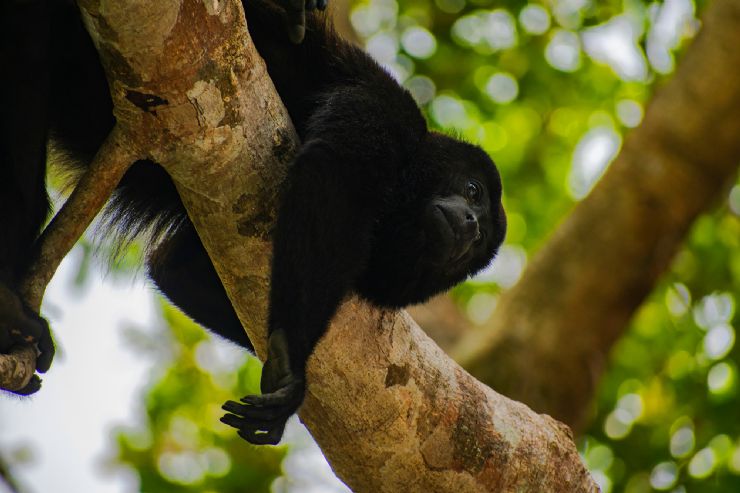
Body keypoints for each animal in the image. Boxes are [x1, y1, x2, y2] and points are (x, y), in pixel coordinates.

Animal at [0, 0, 506, 444]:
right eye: (473, 191)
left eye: (481, 240)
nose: (469, 224)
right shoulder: (389, 109)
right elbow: (336, 172)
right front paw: (294, 368)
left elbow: (175, 269)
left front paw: (291, 383)